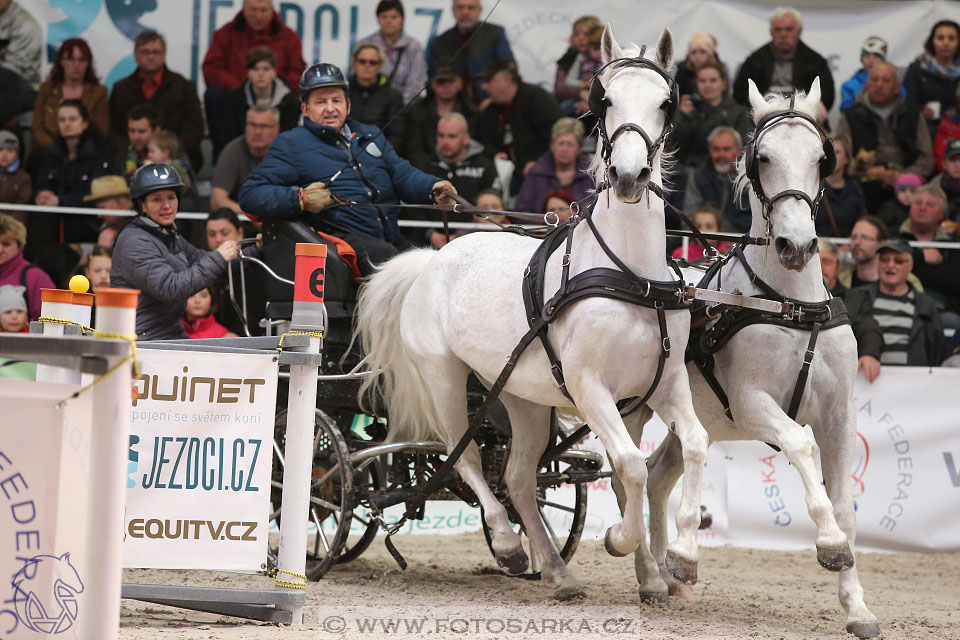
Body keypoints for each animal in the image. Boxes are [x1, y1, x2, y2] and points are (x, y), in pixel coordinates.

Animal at [356, 25, 708, 604]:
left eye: (665, 103)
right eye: (605, 101)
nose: (630, 175)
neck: (630, 277)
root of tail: (432, 257)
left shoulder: (665, 383)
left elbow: (692, 447)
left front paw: (678, 559)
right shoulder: (591, 389)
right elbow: (630, 466)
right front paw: (618, 539)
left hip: (521, 395)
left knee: (520, 477)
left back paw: (559, 572)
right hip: (445, 378)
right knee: (465, 456)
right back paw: (506, 545)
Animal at [616, 80, 876, 640]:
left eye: (822, 158)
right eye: (764, 157)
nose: (796, 245)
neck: (791, 304)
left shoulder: (840, 414)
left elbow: (847, 509)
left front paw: (857, 607)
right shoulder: (752, 404)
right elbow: (799, 445)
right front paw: (827, 544)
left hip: (692, 417)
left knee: (659, 473)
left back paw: (672, 572)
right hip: (633, 406)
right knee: (628, 474)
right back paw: (649, 572)